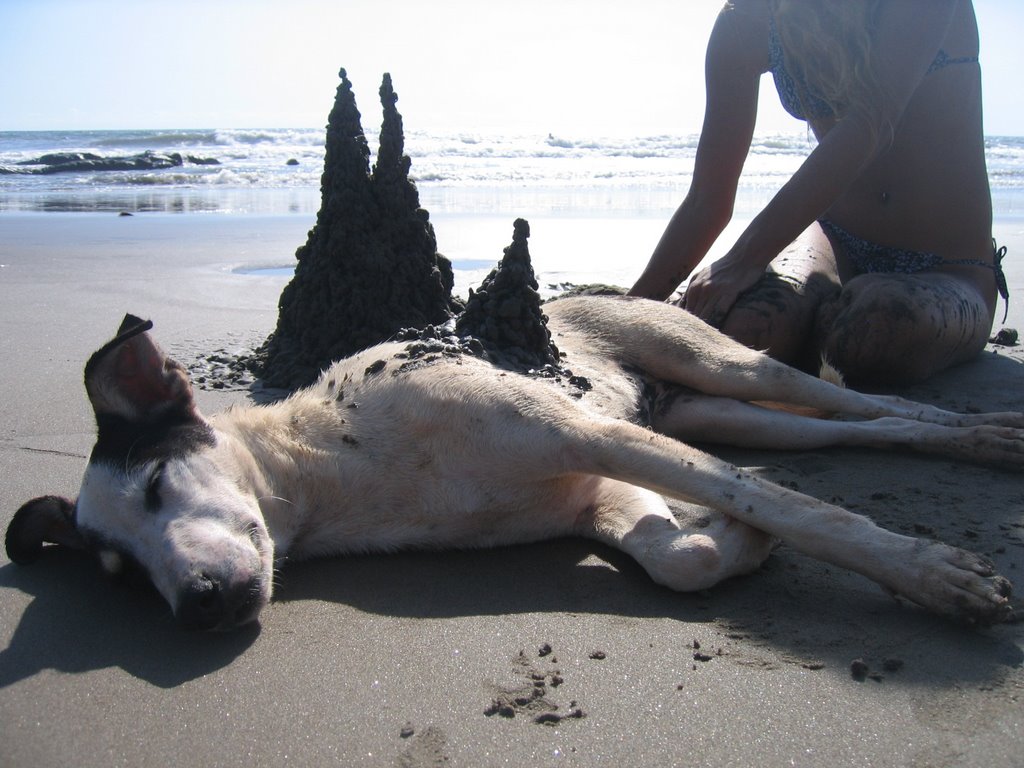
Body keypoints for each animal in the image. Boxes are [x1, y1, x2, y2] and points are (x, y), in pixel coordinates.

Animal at [4, 296, 1019, 630]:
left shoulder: (584, 437)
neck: (332, 468)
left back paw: (986, 434)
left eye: (157, 485)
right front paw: (738, 539)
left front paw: (933, 575)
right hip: (721, 410)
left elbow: (814, 516)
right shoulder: (592, 489)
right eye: (123, 573)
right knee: (857, 431)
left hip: (723, 363)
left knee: (872, 406)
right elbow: (682, 557)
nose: (200, 607)